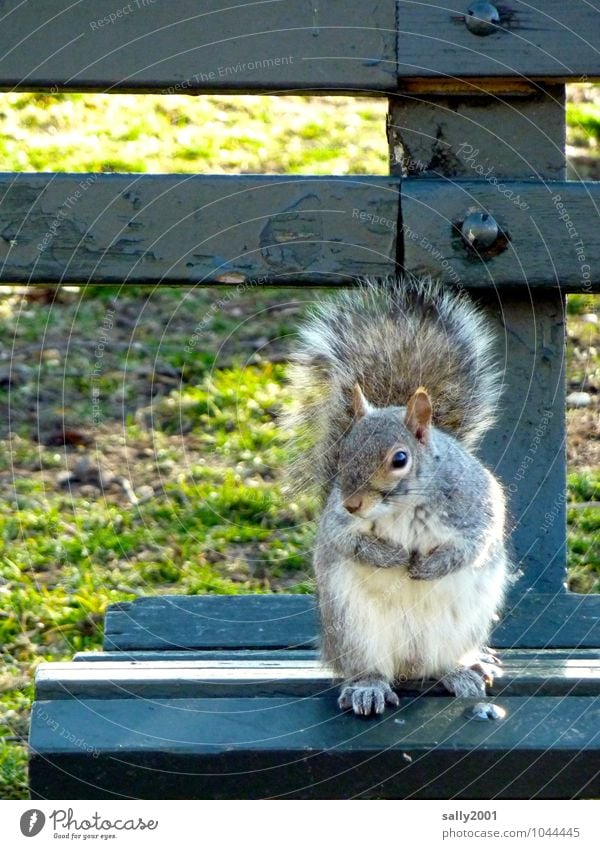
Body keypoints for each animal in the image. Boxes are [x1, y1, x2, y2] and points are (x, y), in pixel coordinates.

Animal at [284, 274, 508, 712]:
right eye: (344, 451)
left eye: (399, 459)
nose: (353, 504)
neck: (404, 506)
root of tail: (410, 661)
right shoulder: (337, 523)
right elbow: (345, 541)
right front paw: (392, 557)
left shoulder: (476, 507)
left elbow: (473, 545)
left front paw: (430, 566)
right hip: (353, 628)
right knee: (368, 667)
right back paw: (367, 686)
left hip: (461, 625)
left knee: (441, 664)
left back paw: (463, 670)